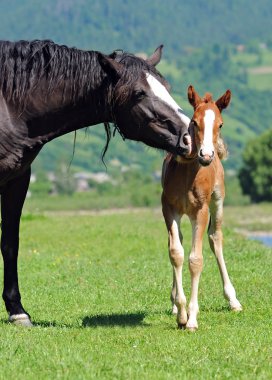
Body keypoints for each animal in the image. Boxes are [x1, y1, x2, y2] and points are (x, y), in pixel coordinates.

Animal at [0, 39, 191, 326]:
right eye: (139, 93)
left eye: (166, 87)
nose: (191, 136)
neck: (9, 107)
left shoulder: (17, 178)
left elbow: (10, 243)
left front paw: (17, 310)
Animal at [162, 85, 242, 330]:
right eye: (194, 122)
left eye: (221, 124)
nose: (206, 155)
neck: (188, 173)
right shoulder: (168, 208)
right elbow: (176, 253)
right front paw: (180, 312)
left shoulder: (201, 211)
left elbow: (196, 260)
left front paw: (192, 318)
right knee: (179, 241)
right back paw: (174, 303)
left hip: (217, 202)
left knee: (215, 238)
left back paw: (233, 300)